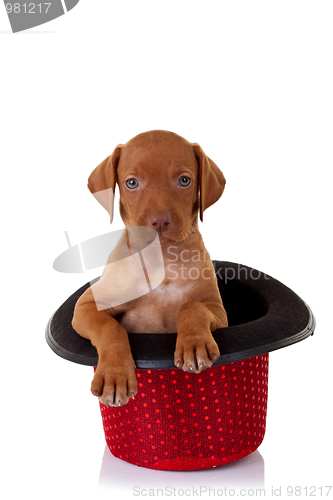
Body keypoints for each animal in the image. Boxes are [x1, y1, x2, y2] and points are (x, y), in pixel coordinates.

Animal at [71, 130, 227, 406]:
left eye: (184, 180)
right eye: (131, 183)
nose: (159, 221)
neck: (162, 259)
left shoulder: (217, 309)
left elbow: (192, 307)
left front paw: (194, 345)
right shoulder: (88, 305)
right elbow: (110, 328)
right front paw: (115, 376)